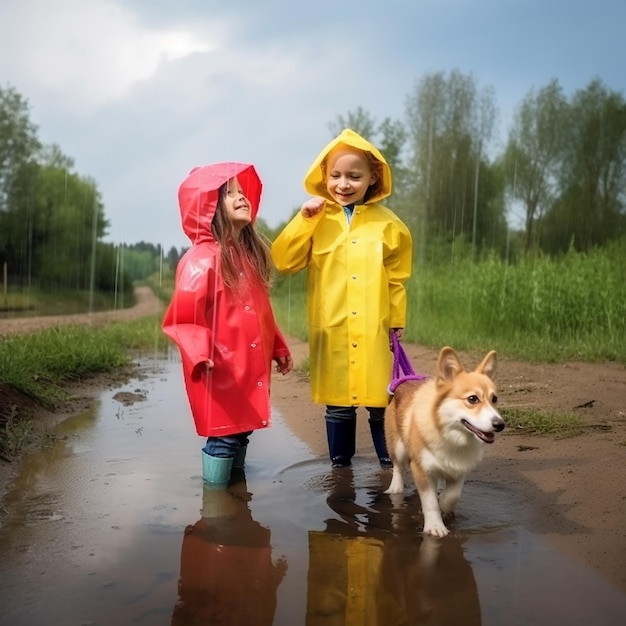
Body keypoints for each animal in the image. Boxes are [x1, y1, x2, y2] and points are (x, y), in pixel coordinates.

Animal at [386, 344, 502, 532]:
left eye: (494, 399)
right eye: (472, 399)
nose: (500, 424)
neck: (450, 435)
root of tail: (404, 381)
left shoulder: (460, 469)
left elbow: (452, 496)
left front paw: (444, 505)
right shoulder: (422, 469)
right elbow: (430, 502)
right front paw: (435, 527)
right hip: (398, 446)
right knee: (398, 467)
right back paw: (395, 488)